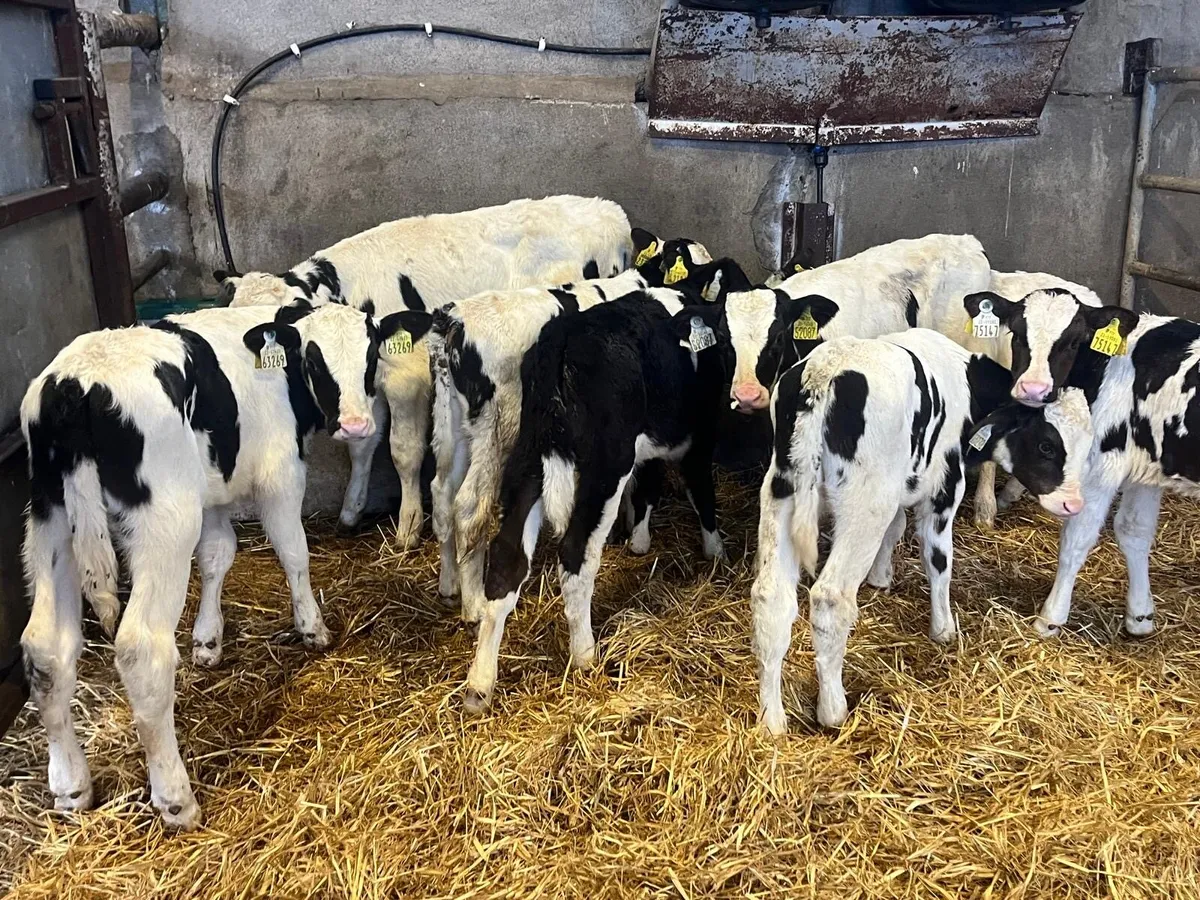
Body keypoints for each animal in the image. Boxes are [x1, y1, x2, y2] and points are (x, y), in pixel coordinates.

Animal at [19, 302, 383, 830]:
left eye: (371, 354)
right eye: (315, 361)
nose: (355, 424)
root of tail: (78, 381)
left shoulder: (214, 491)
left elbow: (217, 554)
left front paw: (208, 641)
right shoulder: (281, 474)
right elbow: (293, 550)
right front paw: (312, 627)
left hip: (50, 521)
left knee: (46, 649)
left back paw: (70, 787)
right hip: (164, 523)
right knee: (141, 650)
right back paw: (176, 800)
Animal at [218, 195, 632, 547]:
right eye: (314, 357)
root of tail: (610, 212)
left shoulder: (406, 377)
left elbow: (403, 451)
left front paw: (408, 526)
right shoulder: (368, 383)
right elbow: (363, 445)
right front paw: (351, 512)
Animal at [463, 294, 732, 712]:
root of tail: (562, 340)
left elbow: (648, 487)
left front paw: (639, 540)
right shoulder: (699, 438)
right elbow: (701, 490)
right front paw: (715, 551)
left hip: (528, 458)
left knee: (507, 560)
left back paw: (479, 685)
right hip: (605, 466)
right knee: (576, 557)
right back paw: (585, 655)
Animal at [751, 327, 1094, 733]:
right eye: (1046, 445)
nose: (1074, 505)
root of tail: (824, 372)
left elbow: (896, 528)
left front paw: (881, 577)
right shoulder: (945, 486)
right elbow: (938, 559)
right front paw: (944, 628)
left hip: (782, 489)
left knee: (771, 595)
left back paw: (772, 720)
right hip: (864, 503)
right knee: (829, 597)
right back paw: (833, 710)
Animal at [961, 287, 1189, 639]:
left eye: (1072, 341)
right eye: (1018, 335)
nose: (1034, 389)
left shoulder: (1104, 463)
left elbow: (1076, 541)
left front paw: (1050, 618)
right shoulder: (1147, 465)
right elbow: (1134, 531)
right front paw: (1140, 616)